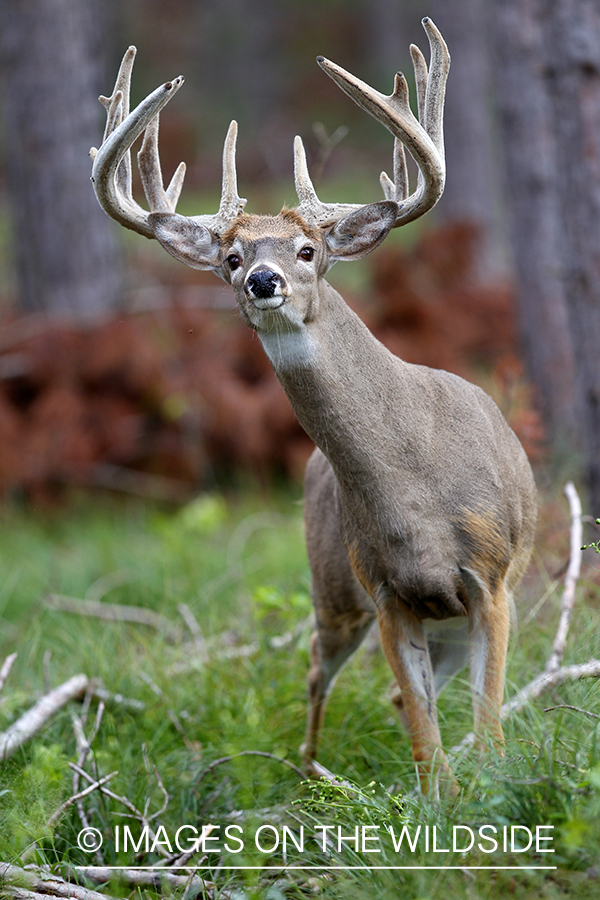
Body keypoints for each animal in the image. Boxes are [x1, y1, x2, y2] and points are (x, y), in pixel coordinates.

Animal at [90, 17, 540, 796]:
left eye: (307, 249)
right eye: (231, 258)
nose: (263, 280)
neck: (418, 492)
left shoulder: (490, 578)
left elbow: (487, 733)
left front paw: (486, 795)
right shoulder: (385, 590)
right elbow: (429, 745)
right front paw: (437, 806)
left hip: (447, 617)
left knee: (401, 696)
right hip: (332, 586)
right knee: (320, 673)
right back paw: (310, 776)